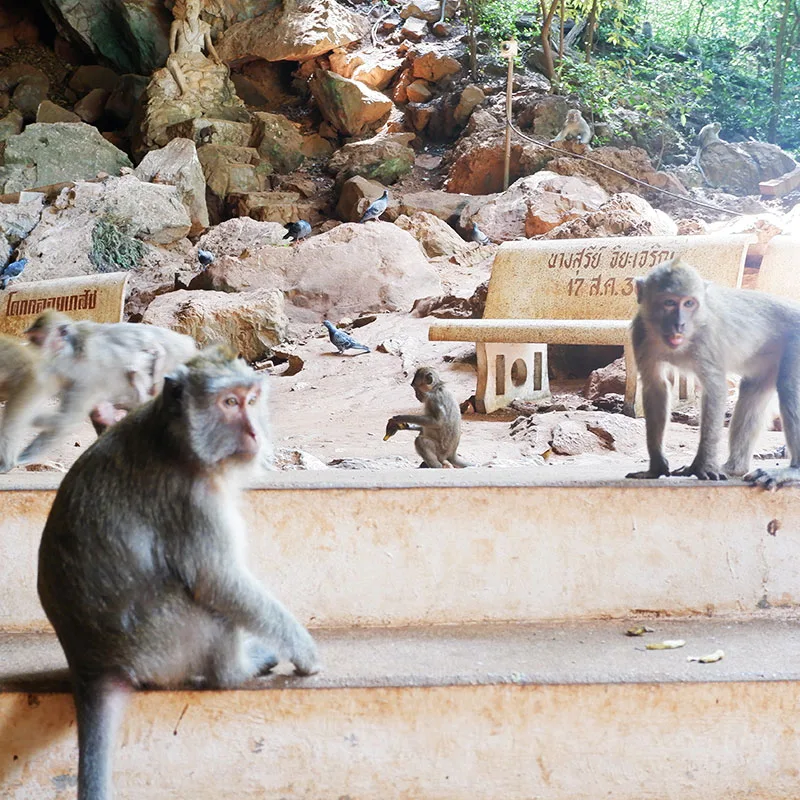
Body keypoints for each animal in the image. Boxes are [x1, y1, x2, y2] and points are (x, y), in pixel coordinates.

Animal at [12, 311, 198, 468]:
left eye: (37, 340)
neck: (71, 351)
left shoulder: (86, 375)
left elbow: (66, 420)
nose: (30, 350)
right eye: (33, 340)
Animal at [37, 347, 319, 800]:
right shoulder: (191, 501)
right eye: (229, 403)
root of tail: (93, 667)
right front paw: (304, 651)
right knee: (205, 601)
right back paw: (237, 671)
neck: (174, 440)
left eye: (251, 400)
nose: (255, 433)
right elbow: (216, 580)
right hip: (163, 643)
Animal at [626, 258, 800, 490]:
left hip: (796, 342)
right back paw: (734, 467)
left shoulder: (706, 336)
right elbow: (655, 386)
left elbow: (715, 388)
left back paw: (793, 470)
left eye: (689, 303)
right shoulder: (640, 332)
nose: (679, 324)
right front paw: (656, 468)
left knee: (789, 387)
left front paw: (702, 466)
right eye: (669, 302)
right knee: (753, 391)